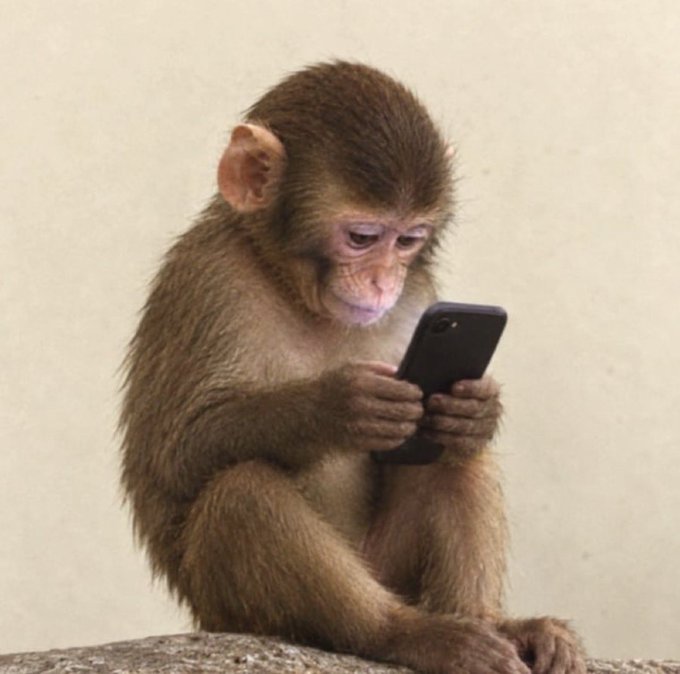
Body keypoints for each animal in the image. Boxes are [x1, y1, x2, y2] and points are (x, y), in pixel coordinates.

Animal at [120, 61, 585, 674]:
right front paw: (338, 406)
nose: (384, 282)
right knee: (242, 491)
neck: (292, 287)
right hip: (231, 611)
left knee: (453, 455)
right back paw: (403, 633)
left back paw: (493, 623)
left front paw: (477, 407)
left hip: (390, 566)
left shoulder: (420, 297)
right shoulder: (207, 278)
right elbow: (175, 454)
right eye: (362, 238)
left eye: (408, 240)